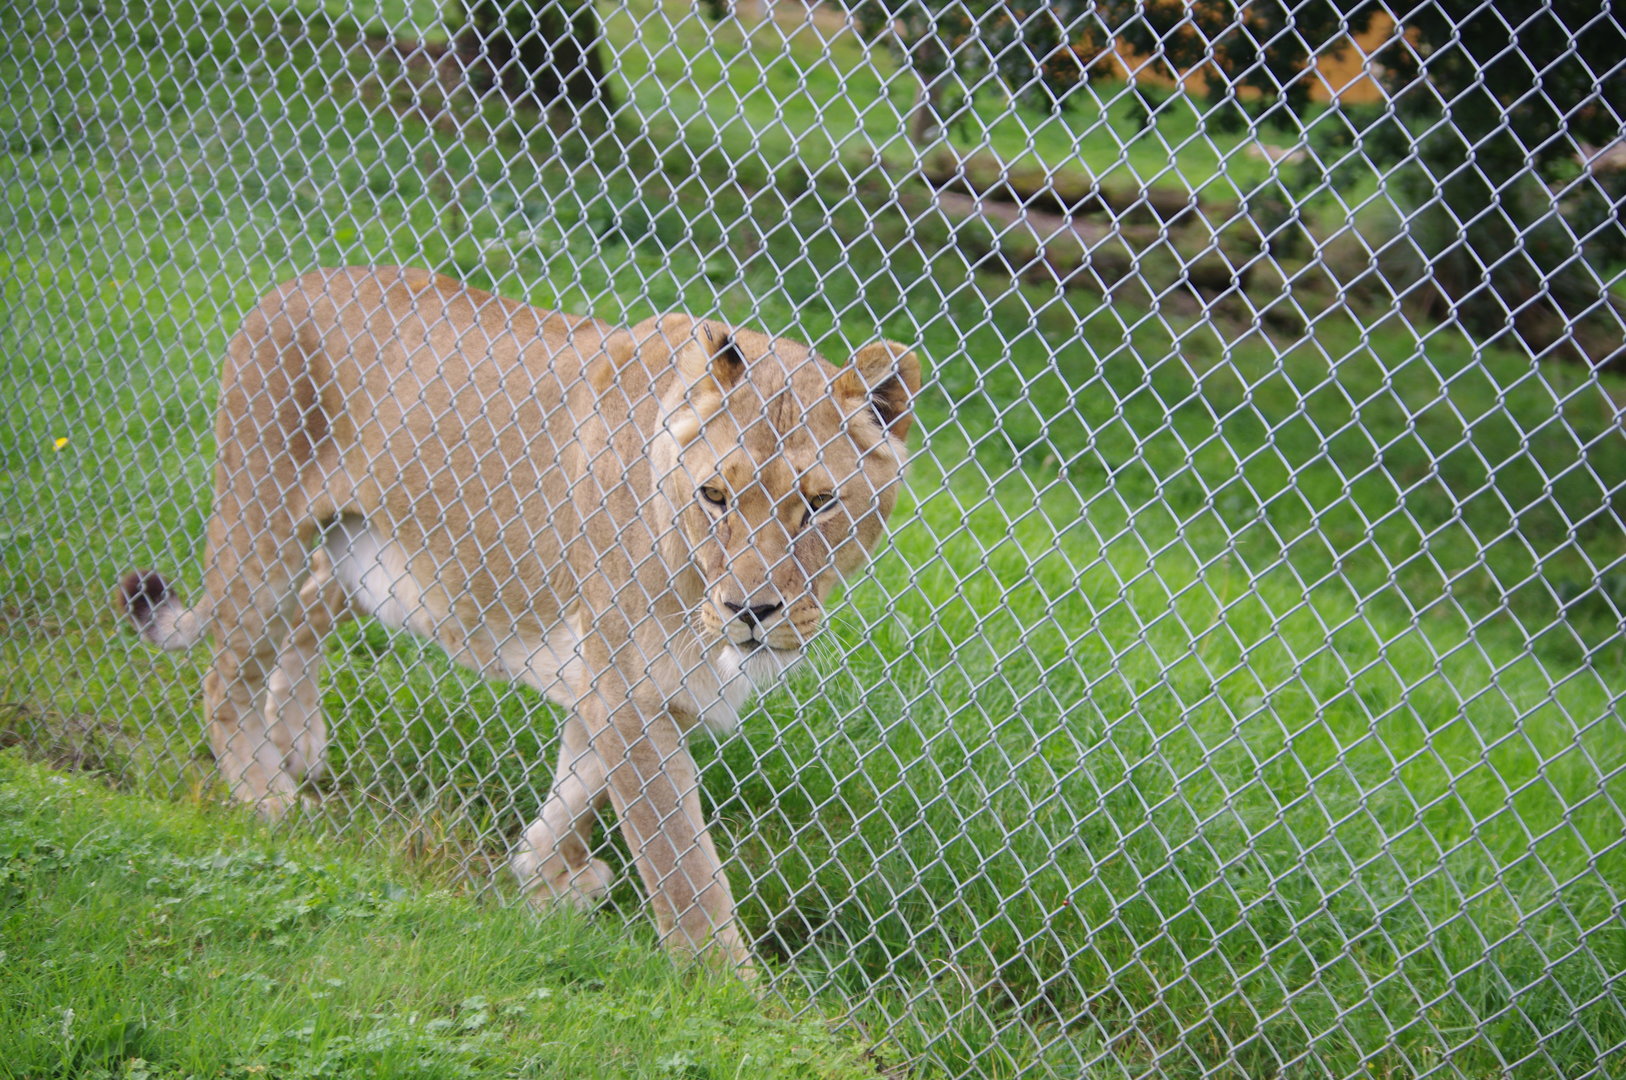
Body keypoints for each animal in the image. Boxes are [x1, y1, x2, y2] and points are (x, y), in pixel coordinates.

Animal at [119, 266, 920, 969]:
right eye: (716, 496)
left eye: (820, 504)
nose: (750, 611)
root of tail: (285, 287)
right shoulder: (628, 687)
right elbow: (681, 863)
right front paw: (726, 993)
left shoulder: (632, 685)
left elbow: (579, 786)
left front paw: (546, 878)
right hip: (264, 534)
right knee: (227, 672)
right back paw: (266, 794)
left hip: (367, 556)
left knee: (310, 604)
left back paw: (297, 739)